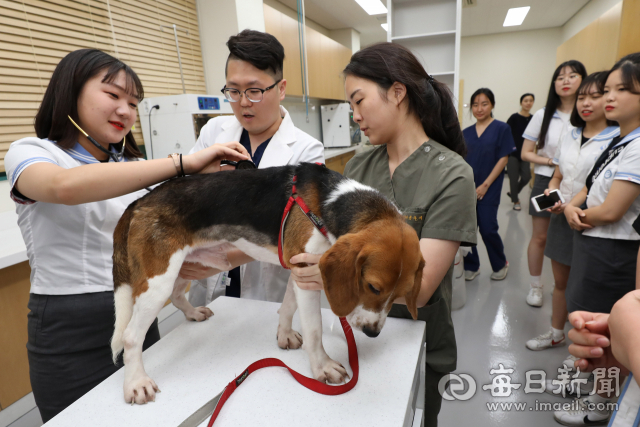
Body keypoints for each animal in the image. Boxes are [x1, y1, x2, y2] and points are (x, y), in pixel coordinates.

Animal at [111, 163, 424, 404]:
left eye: (401, 294)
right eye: (373, 287)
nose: (372, 333)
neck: (327, 204)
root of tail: (139, 202)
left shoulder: (297, 270)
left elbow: (287, 307)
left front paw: (284, 336)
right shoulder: (306, 272)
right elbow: (314, 330)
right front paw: (322, 366)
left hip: (184, 268)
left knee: (176, 296)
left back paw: (193, 312)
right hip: (159, 280)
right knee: (130, 336)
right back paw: (136, 383)